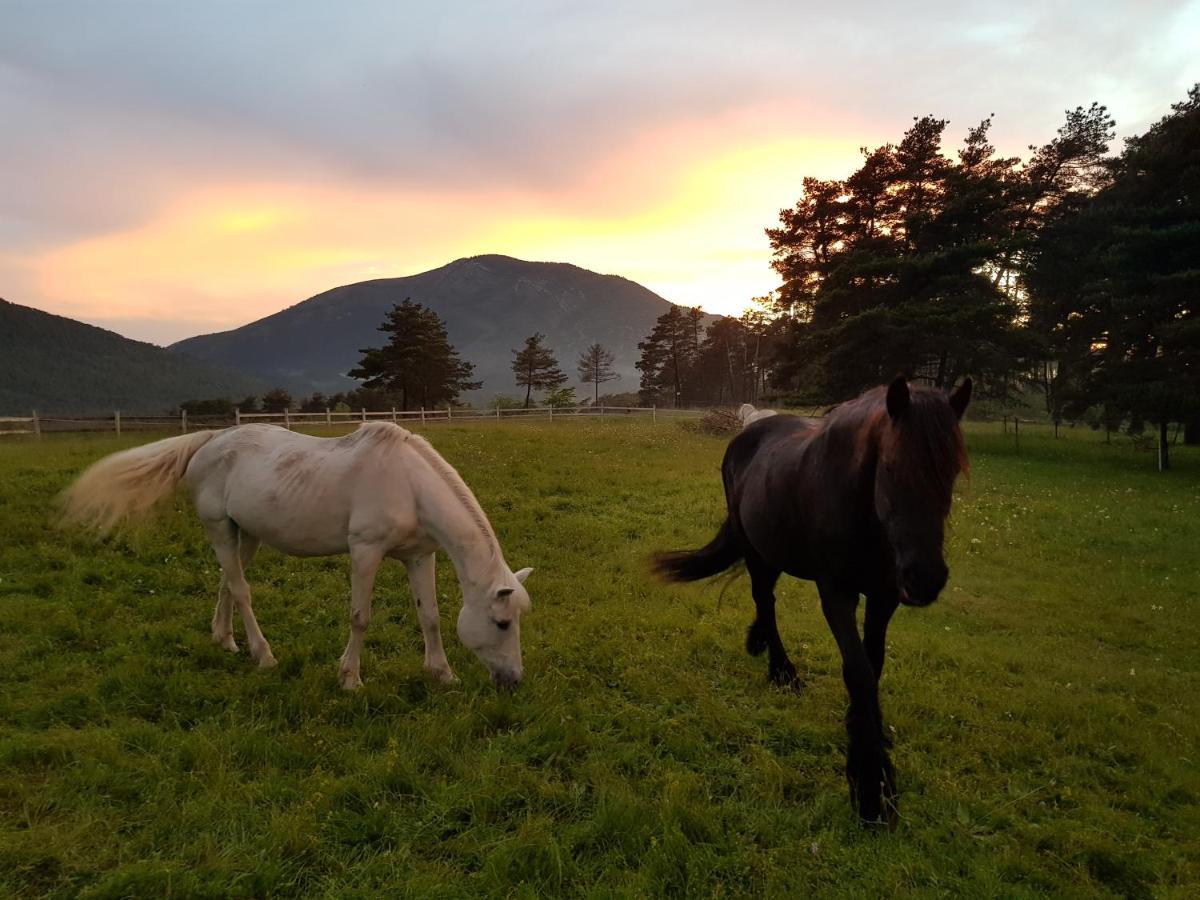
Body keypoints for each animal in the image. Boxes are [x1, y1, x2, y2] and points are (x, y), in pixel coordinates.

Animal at [63, 422, 532, 691]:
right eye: (502, 623)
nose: (513, 680)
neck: (409, 484)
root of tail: (212, 439)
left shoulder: (419, 556)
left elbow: (430, 616)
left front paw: (442, 674)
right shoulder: (365, 551)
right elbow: (360, 617)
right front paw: (349, 679)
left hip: (245, 534)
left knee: (227, 582)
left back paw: (225, 640)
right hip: (219, 527)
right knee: (241, 589)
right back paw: (263, 655)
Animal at [657, 376, 974, 830]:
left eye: (951, 472)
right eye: (891, 467)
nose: (925, 579)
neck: (861, 510)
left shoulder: (883, 596)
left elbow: (873, 666)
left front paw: (866, 732)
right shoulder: (836, 593)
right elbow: (858, 670)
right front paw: (872, 787)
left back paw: (759, 644)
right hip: (755, 550)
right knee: (765, 599)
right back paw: (781, 671)